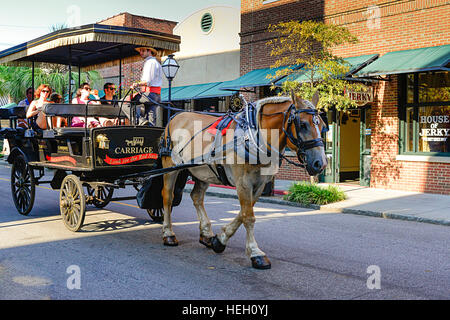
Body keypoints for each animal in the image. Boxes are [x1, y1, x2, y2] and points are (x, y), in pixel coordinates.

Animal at [159, 92, 326, 268]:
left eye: (322, 125)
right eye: (302, 124)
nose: (320, 163)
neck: (253, 137)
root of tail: (175, 116)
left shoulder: (259, 184)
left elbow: (244, 212)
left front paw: (220, 240)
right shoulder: (243, 182)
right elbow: (248, 216)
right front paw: (255, 252)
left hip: (203, 172)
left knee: (197, 197)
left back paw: (206, 234)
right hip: (170, 166)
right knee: (168, 197)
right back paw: (168, 234)